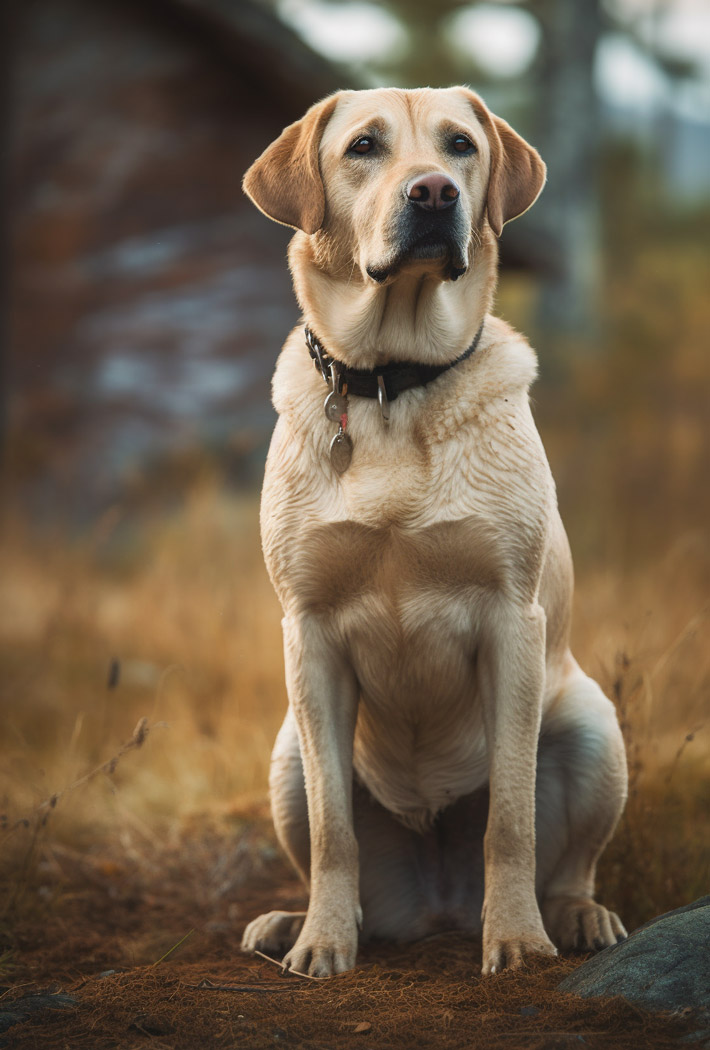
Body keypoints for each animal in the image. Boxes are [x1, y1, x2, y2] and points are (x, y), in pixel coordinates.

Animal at [239, 88, 625, 974]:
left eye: (459, 147)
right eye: (363, 147)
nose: (435, 193)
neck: (391, 386)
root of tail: (436, 905)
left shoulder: (513, 623)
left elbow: (509, 820)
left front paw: (516, 937)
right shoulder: (307, 635)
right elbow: (334, 831)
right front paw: (322, 943)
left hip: (596, 728)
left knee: (569, 862)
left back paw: (575, 916)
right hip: (285, 752)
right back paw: (291, 922)